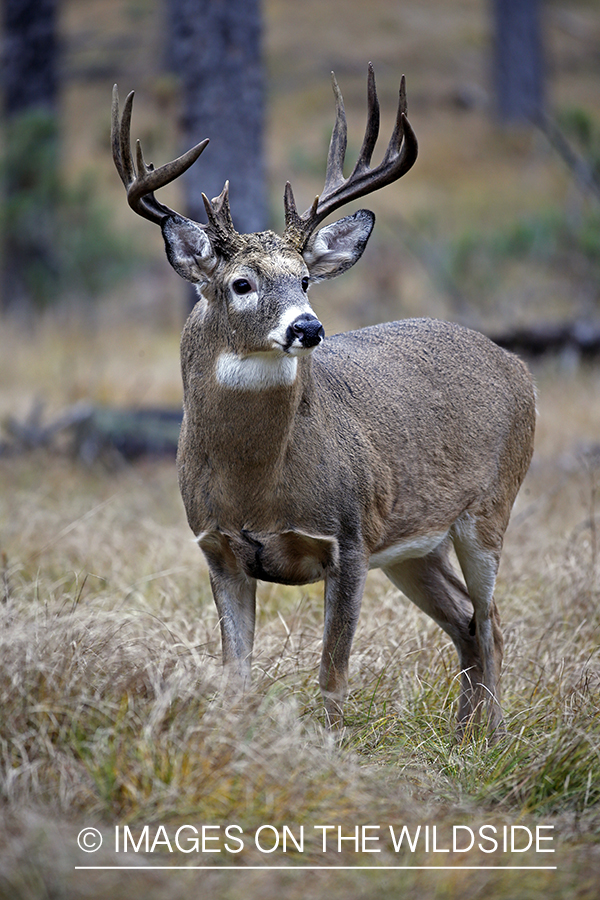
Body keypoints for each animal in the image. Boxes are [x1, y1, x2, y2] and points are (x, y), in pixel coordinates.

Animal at [111, 63, 536, 740]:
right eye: (241, 283)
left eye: (306, 278)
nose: (307, 327)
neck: (256, 486)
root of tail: (518, 366)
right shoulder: (217, 547)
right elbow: (236, 676)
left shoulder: (350, 537)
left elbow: (333, 676)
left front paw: (334, 749)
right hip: (416, 542)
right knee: (467, 621)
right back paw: (462, 734)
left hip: (488, 510)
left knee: (492, 622)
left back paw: (491, 740)